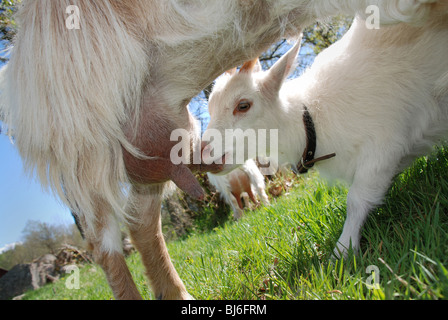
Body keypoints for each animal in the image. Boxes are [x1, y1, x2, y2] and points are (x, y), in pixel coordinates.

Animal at [0, 0, 440, 300]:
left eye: (243, 105)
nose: (205, 152)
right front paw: (341, 255)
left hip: (146, 136)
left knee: (141, 221)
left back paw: (177, 293)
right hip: (83, 128)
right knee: (102, 241)